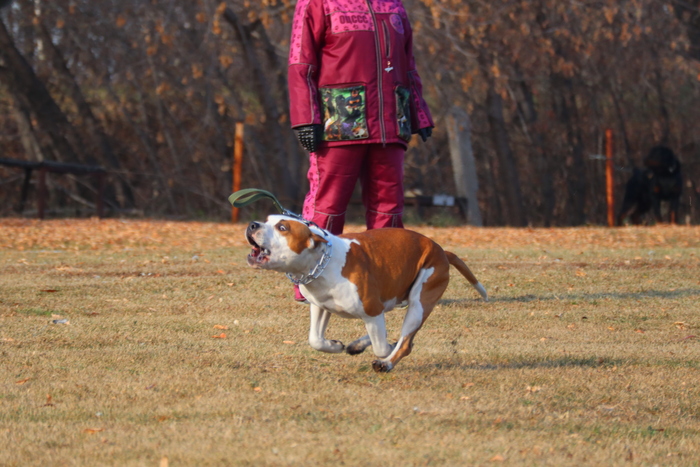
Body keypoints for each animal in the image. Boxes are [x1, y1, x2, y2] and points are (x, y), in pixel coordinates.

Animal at [245, 215, 488, 372]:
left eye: (282, 227)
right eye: (267, 219)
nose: (252, 224)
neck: (322, 261)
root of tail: (441, 250)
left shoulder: (372, 311)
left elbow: (382, 347)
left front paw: (386, 350)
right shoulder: (320, 306)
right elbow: (315, 339)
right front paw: (335, 345)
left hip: (419, 304)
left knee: (404, 343)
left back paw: (387, 362)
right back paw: (360, 344)